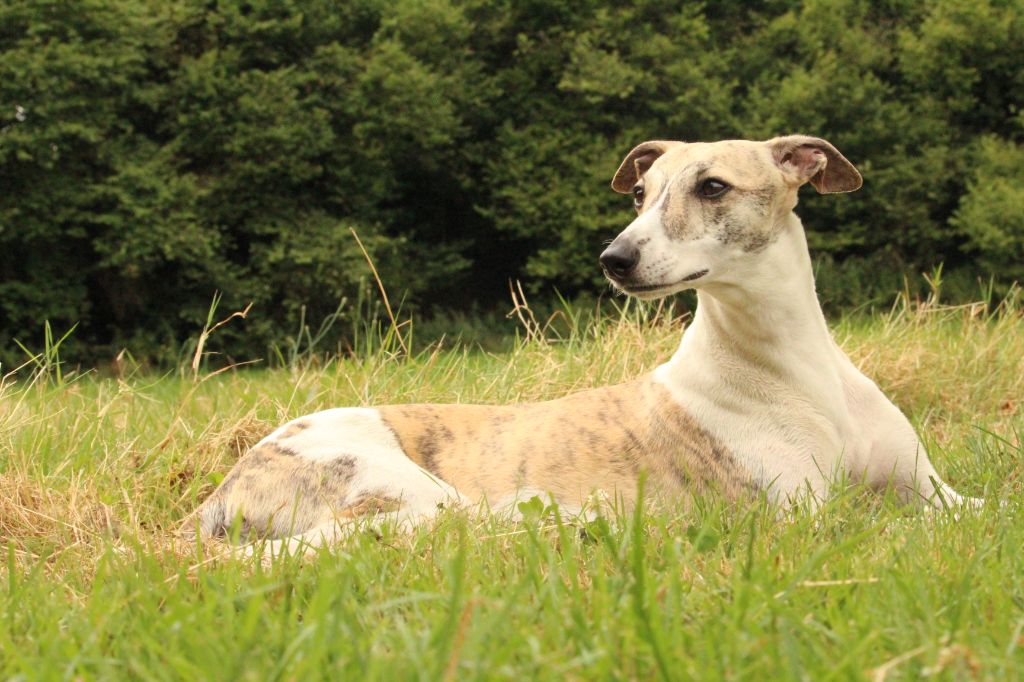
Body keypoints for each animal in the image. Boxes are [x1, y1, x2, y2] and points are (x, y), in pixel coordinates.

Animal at [180, 135, 978, 557]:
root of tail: (225, 485)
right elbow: (872, 521)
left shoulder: (935, 490)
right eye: (640, 194)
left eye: (713, 186)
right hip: (405, 492)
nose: (613, 259)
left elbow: (981, 505)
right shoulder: (799, 517)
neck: (792, 366)